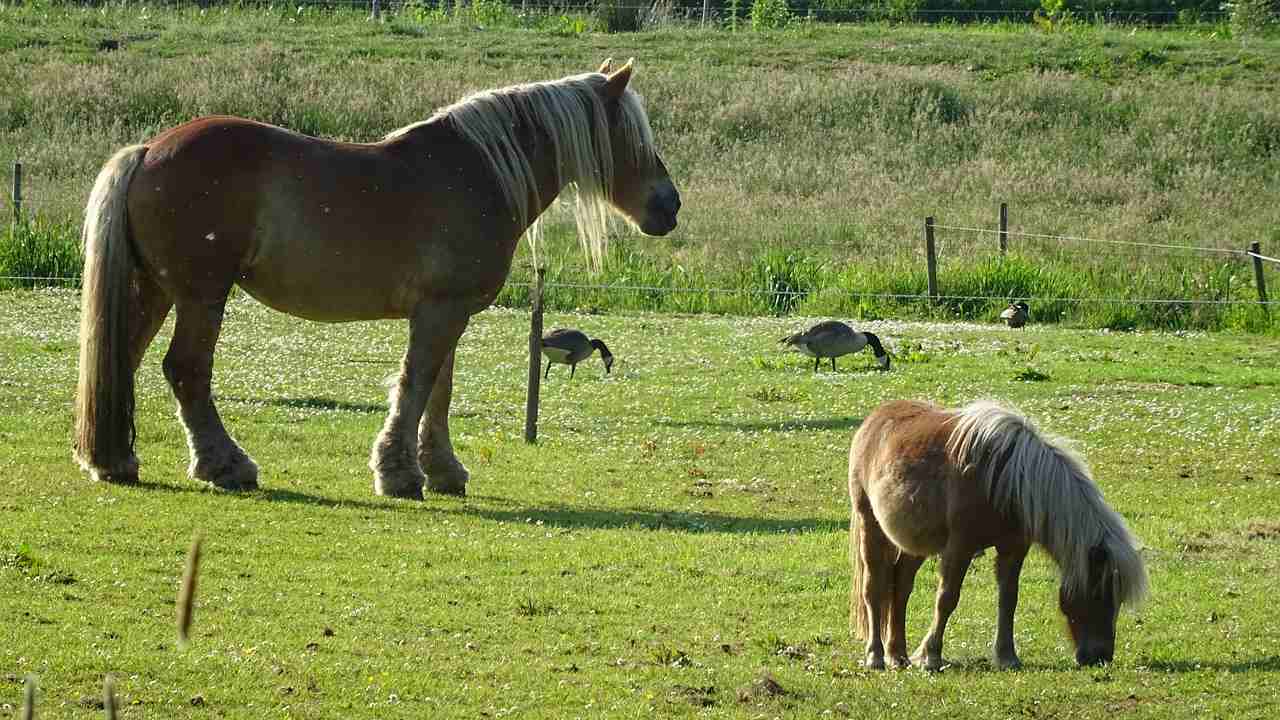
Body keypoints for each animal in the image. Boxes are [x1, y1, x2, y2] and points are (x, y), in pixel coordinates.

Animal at [71, 58, 680, 497]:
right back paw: (226, 465)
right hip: (202, 296)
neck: (479, 173)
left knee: (122, 359)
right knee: (186, 370)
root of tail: (150, 149)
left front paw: (443, 471)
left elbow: (439, 391)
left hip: (156, 291)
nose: (669, 206)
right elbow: (416, 385)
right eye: (632, 137)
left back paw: (113, 460)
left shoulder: (447, 312)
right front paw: (400, 474)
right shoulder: (440, 311)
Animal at [849, 397, 1152, 666]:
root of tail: (874, 419)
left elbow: (1008, 600)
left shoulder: (1013, 548)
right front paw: (931, 656)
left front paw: (1007, 657)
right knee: (873, 590)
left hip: (914, 543)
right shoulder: (960, 547)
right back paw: (876, 656)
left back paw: (898, 655)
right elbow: (946, 599)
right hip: (870, 527)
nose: (1100, 657)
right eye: (1099, 593)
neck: (1008, 479)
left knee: (900, 587)